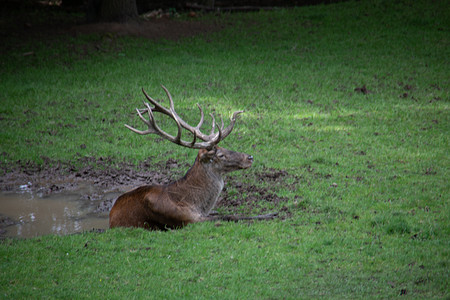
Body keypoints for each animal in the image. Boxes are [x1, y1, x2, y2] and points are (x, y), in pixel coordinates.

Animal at [110, 85, 276, 231]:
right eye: (220, 155)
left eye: (223, 147)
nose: (250, 157)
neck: (192, 203)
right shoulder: (187, 219)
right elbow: (229, 216)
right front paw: (270, 214)